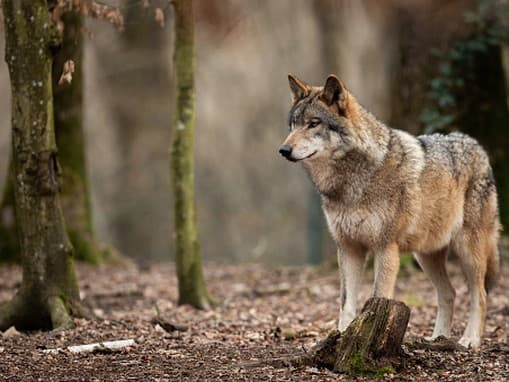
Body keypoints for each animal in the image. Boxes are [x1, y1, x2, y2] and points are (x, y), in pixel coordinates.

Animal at [280, 74, 498, 350]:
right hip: (425, 256)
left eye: (313, 124)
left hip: (468, 252)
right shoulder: (348, 248)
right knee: (450, 292)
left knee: (480, 295)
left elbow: (377, 298)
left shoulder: (385, 248)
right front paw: (340, 338)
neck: (351, 182)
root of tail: (476, 145)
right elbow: (346, 304)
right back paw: (438, 338)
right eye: (292, 125)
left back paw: (470, 339)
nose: (283, 150)